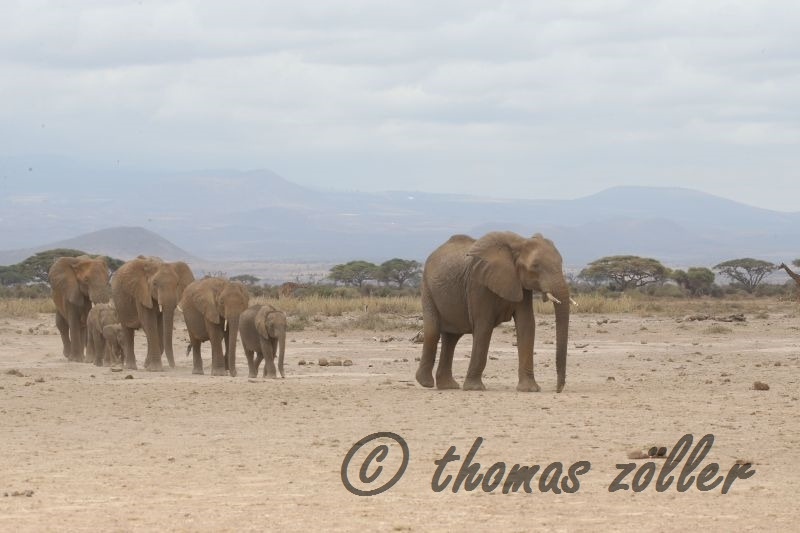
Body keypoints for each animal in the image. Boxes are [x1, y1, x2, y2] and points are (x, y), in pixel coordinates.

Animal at [414, 231, 574, 392]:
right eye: (535, 266)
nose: (558, 389)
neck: (518, 243)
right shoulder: (477, 283)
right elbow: (484, 326)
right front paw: (474, 388)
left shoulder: (520, 284)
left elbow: (527, 324)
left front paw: (529, 389)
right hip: (427, 288)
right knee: (433, 332)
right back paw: (426, 383)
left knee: (451, 338)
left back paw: (448, 386)